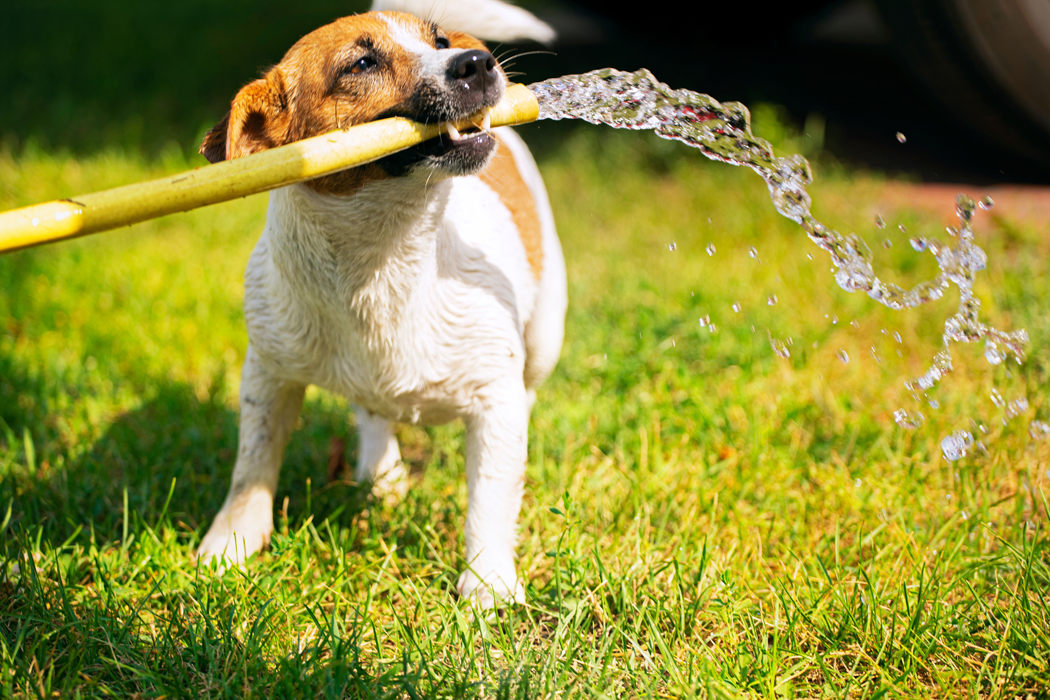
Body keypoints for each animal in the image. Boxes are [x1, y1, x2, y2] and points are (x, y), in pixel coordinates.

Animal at [192, 0, 562, 608]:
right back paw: (380, 473)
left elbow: (491, 493)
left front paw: (487, 586)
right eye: (362, 63)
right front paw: (230, 546)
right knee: (371, 415)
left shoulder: (495, 400)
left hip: (544, 335)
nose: (479, 63)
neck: (383, 258)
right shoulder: (268, 373)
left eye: (440, 42)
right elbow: (253, 465)